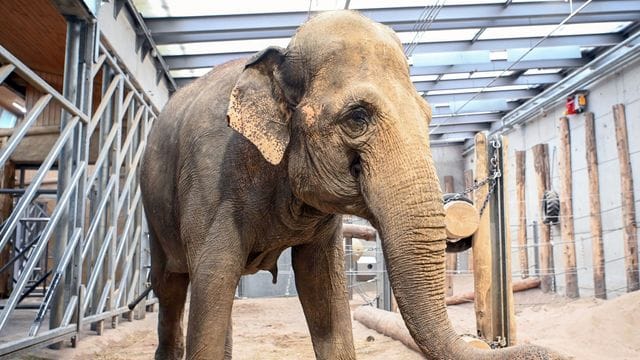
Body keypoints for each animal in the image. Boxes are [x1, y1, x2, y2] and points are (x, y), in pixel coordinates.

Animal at [139, 9, 560, 358]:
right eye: (357, 116)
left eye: (427, 116)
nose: (540, 350)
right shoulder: (211, 184)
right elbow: (212, 280)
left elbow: (323, 290)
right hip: (153, 211)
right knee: (171, 286)